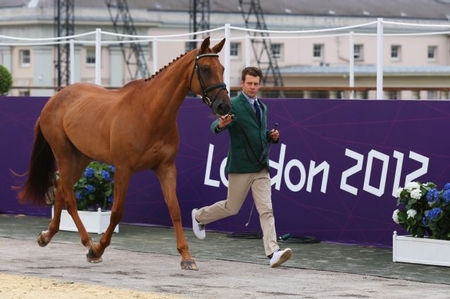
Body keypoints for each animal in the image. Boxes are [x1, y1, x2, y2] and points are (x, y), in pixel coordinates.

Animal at [15, 37, 230, 272]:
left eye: (222, 68)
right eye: (205, 68)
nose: (224, 106)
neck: (150, 113)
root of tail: (55, 98)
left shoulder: (165, 167)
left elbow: (174, 208)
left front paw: (186, 257)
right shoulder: (123, 169)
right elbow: (117, 212)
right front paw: (98, 249)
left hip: (81, 158)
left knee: (61, 190)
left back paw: (47, 235)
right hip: (63, 155)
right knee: (69, 198)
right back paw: (88, 244)